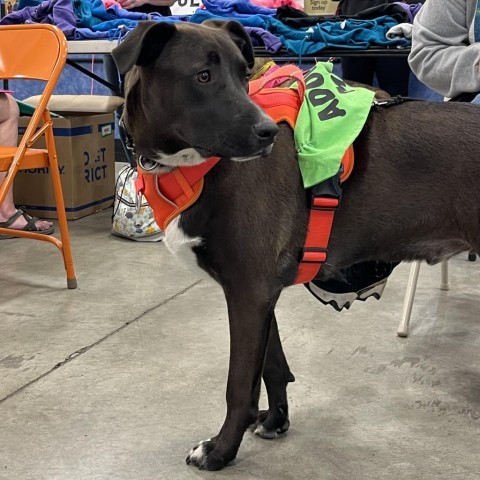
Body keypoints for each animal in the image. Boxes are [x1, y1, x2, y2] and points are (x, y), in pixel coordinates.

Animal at [113, 20, 480, 470]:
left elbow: (239, 384)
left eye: (243, 74)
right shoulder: (259, 293)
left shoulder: (248, 292)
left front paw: (221, 450)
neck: (196, 168)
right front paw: (276, 420)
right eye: (203, 76)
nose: (267, 133)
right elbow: (272, 366)